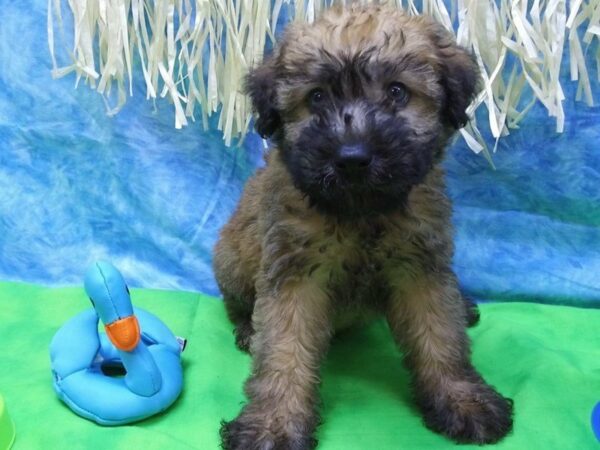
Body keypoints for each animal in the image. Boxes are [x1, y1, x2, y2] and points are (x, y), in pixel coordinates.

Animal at [213, 4, 512, 450]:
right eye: (317, 96)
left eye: (397, 92)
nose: (352, 158)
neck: (362, 215)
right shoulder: (294, 275)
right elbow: (284, 351)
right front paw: (273, 423)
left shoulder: (420, 267)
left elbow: (440, 337)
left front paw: (462, 400)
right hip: (231, 260)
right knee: (237, 304)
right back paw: (248, 328)